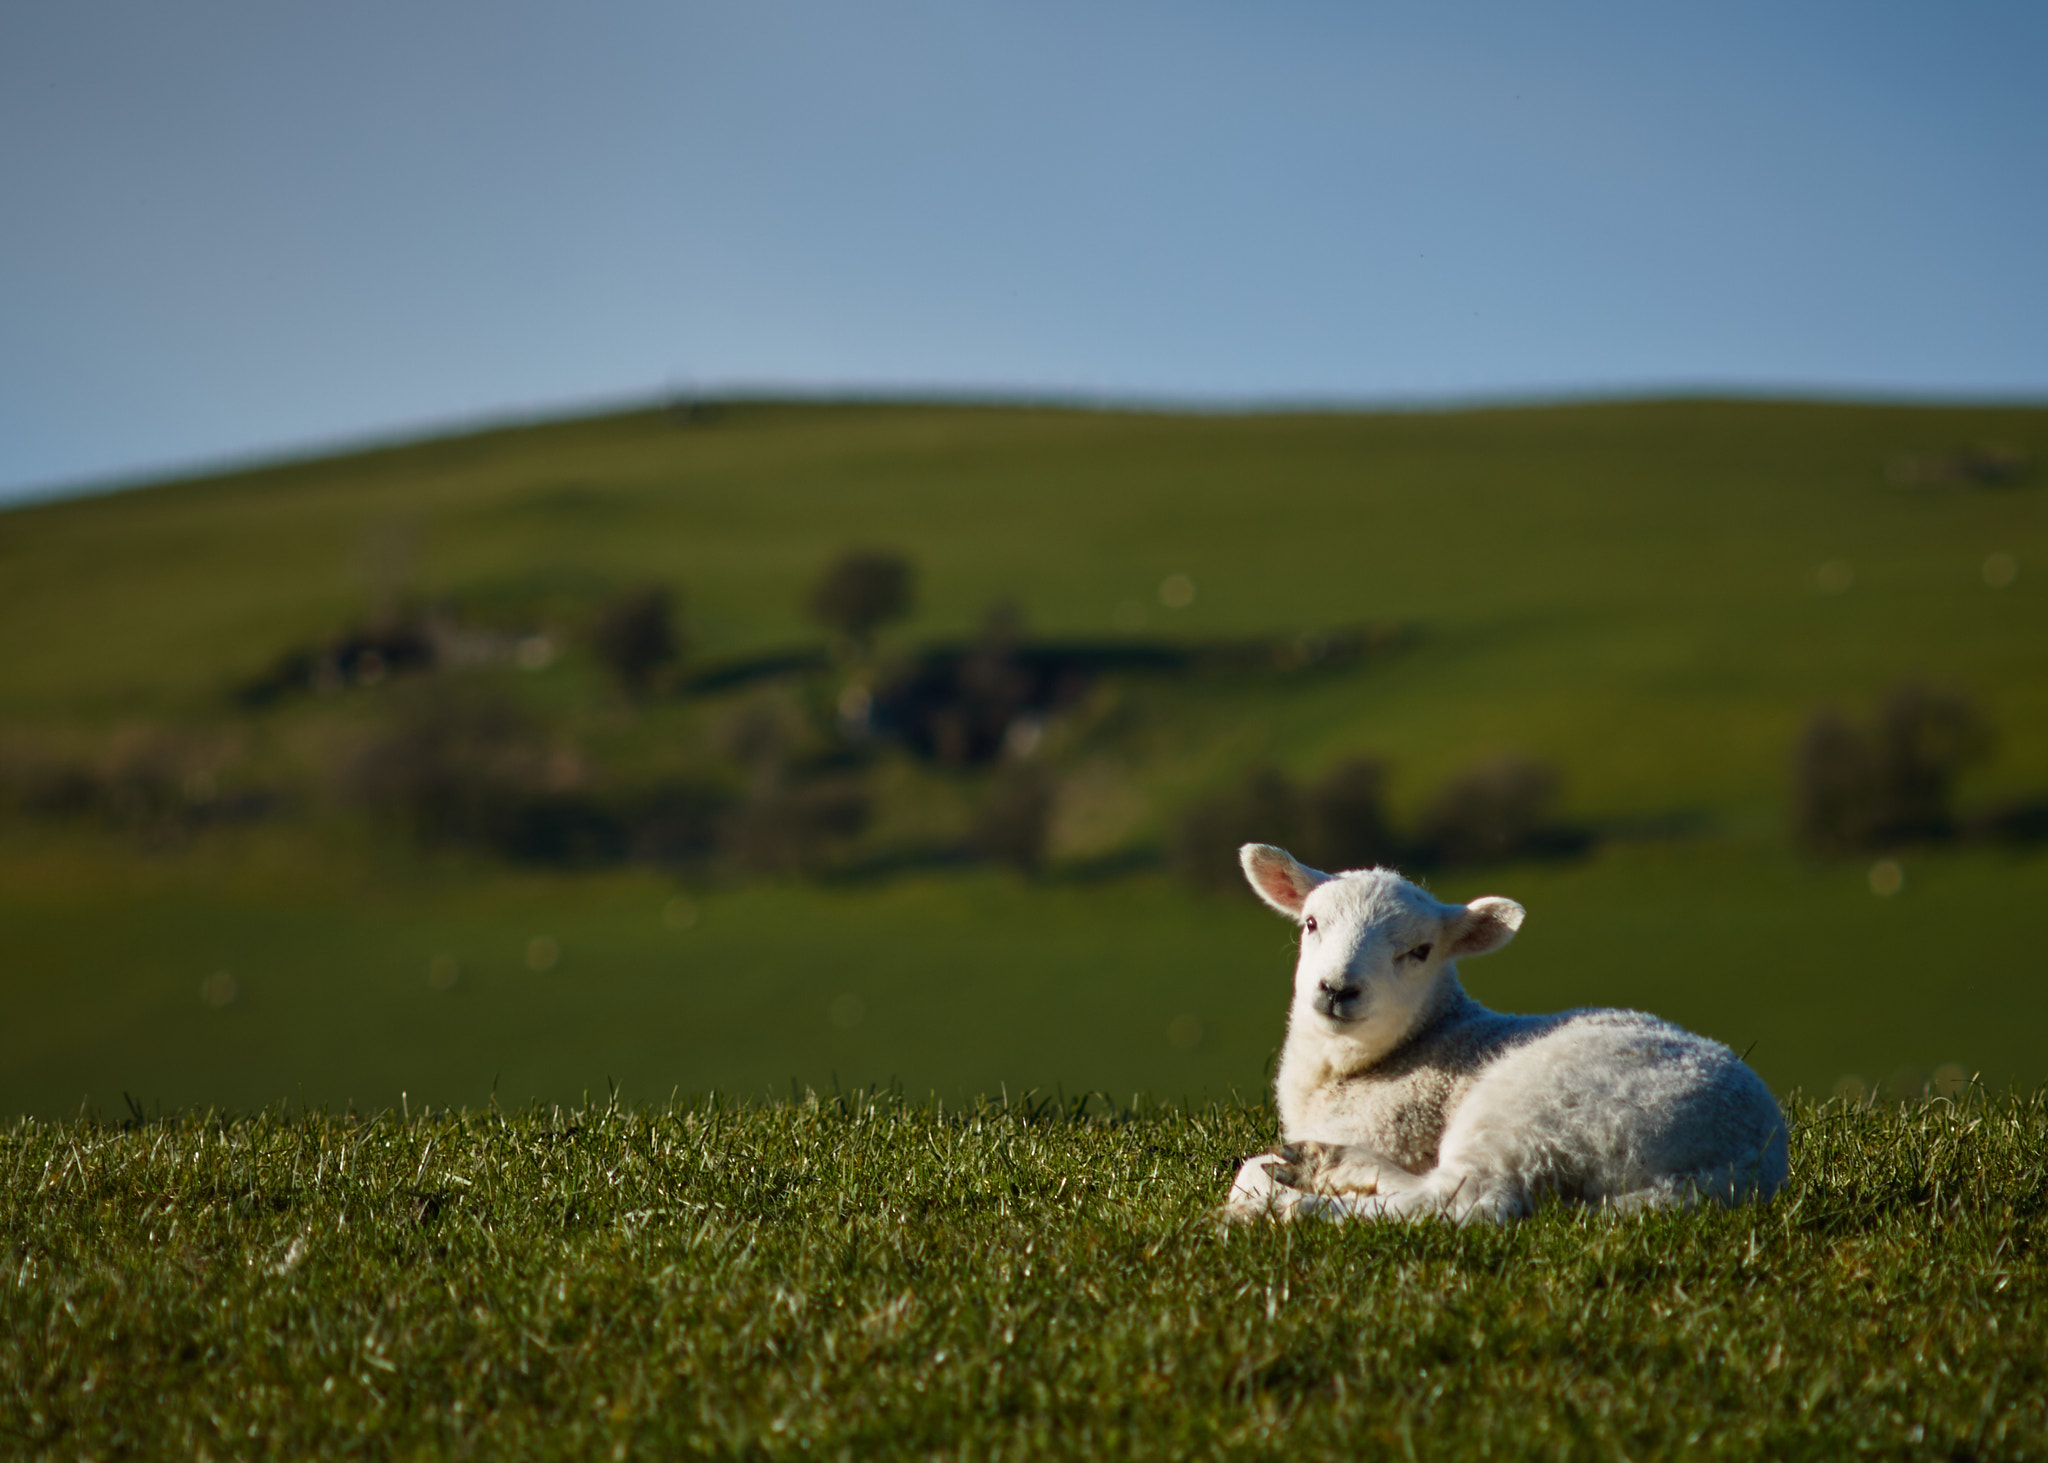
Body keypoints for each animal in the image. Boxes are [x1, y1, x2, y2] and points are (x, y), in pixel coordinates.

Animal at [1220, 844, 1785, 1221]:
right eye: (1311, 924)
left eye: (1420, 952)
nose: (1338, 989)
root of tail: (1746, 1166)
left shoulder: (1389, 1127)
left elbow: (1246, 1174)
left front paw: (1260, 1199)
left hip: (1542, 1109)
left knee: (1464, 1201)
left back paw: (1306, 1201)